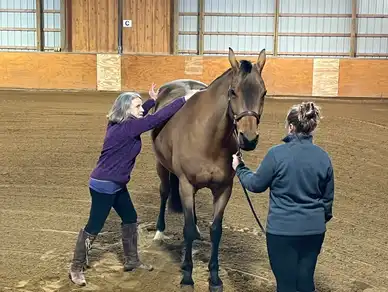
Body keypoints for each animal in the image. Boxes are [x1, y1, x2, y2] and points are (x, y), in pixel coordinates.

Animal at [149, 46, 266, 290]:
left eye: (264, 93)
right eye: (232, 92)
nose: (248, 139)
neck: (209, 138)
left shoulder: (224, 189)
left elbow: (216, 230)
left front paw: (214, 276)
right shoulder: (185, 185)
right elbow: (186, 229)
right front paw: (187, 275)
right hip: (161, 167)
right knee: (164, 193)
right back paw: (159, 232)